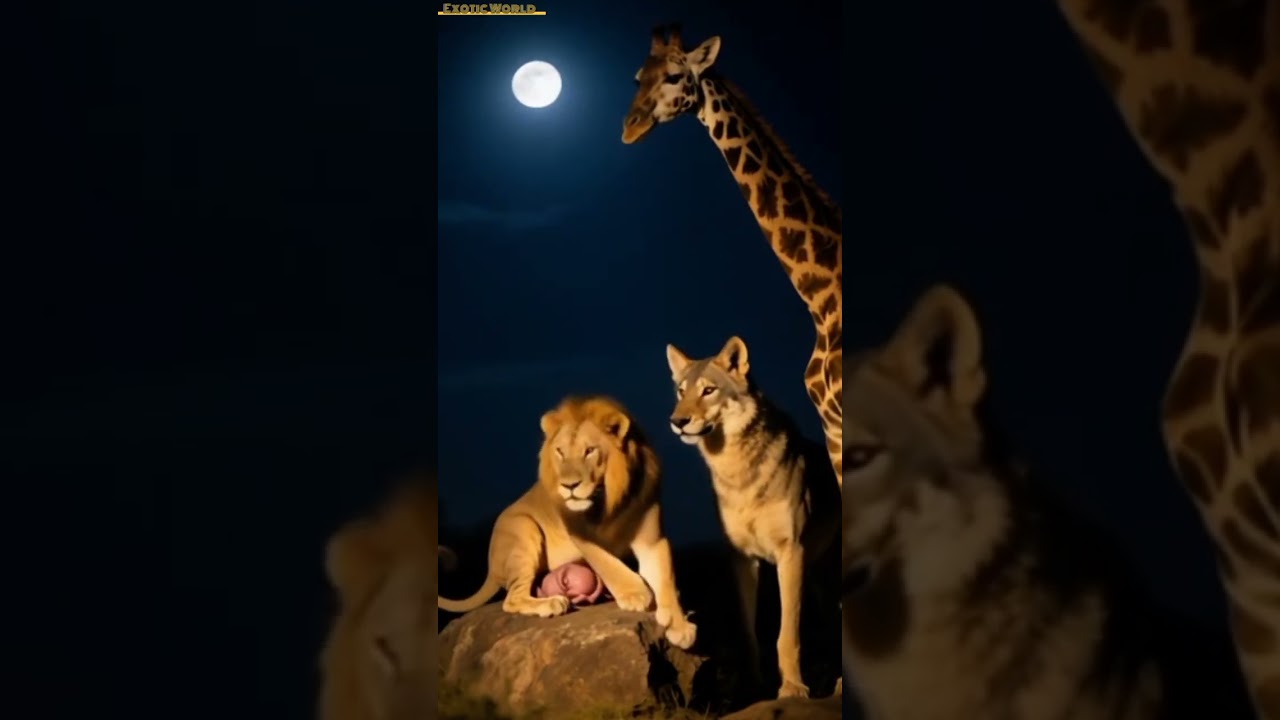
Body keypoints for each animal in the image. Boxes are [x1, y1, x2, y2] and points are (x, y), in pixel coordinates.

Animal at [437, 394, 698, 649]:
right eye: (560, 452)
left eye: (590, 450)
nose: (569, 486)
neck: (609, 499)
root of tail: (491, 566)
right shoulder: (580, 535)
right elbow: (608, 564)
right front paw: (635, 594)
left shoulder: (652, 539)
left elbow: (665, 578)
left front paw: (680, 626)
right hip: (524, 529)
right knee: (511, 599)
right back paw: (552, 603)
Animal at [665, 335, 841, 699]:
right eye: (681, 391)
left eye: (708, 391)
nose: (678, 421)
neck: (738, 471)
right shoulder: (742, 559)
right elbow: (748, 632)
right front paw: (751, 686)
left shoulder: (791, 553)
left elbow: (788, 634)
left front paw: (792, 687)